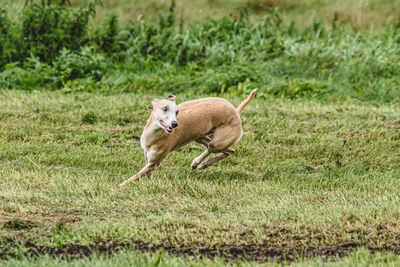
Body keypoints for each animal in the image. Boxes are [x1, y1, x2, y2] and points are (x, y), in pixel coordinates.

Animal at [119, 89, 256, 187]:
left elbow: (136, 176)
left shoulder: (154, 162)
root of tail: (236, 111)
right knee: (229, 150)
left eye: (177, 111)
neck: (154, 135)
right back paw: (199, 164)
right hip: (202, 137)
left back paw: (201, 164)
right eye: (165, 108)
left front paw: (121, 185)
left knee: (218, 149)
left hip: (217, 142)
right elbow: (146, 174)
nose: (175, 124)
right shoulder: (148, 157)